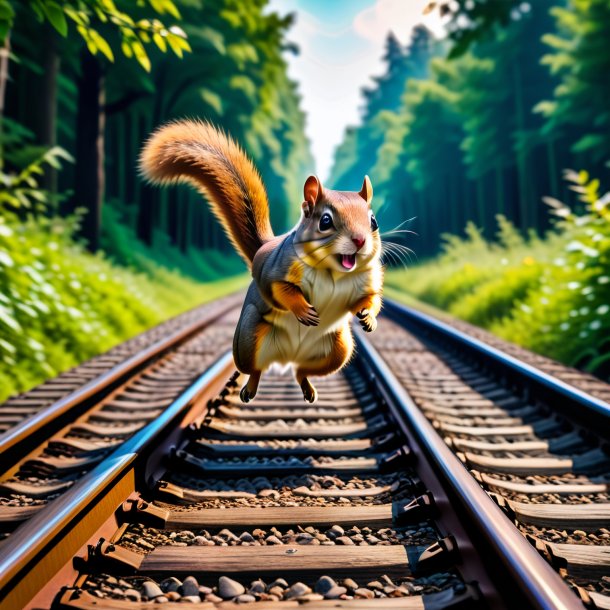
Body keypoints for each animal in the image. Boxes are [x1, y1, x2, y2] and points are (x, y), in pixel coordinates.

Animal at [140, 120, 382, 402]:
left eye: (373, 221)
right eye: (325, 221)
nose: (359, 241)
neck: (332, 272)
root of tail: (289, 356)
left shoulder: (366, 281)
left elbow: (369, 298)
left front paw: (368, 318)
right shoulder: (276, 271)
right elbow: (280, 289)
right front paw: (303, 309)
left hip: (339, 349)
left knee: (302, 371)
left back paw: (308, 388)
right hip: (247, 339)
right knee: (255, 368)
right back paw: (250, 389)